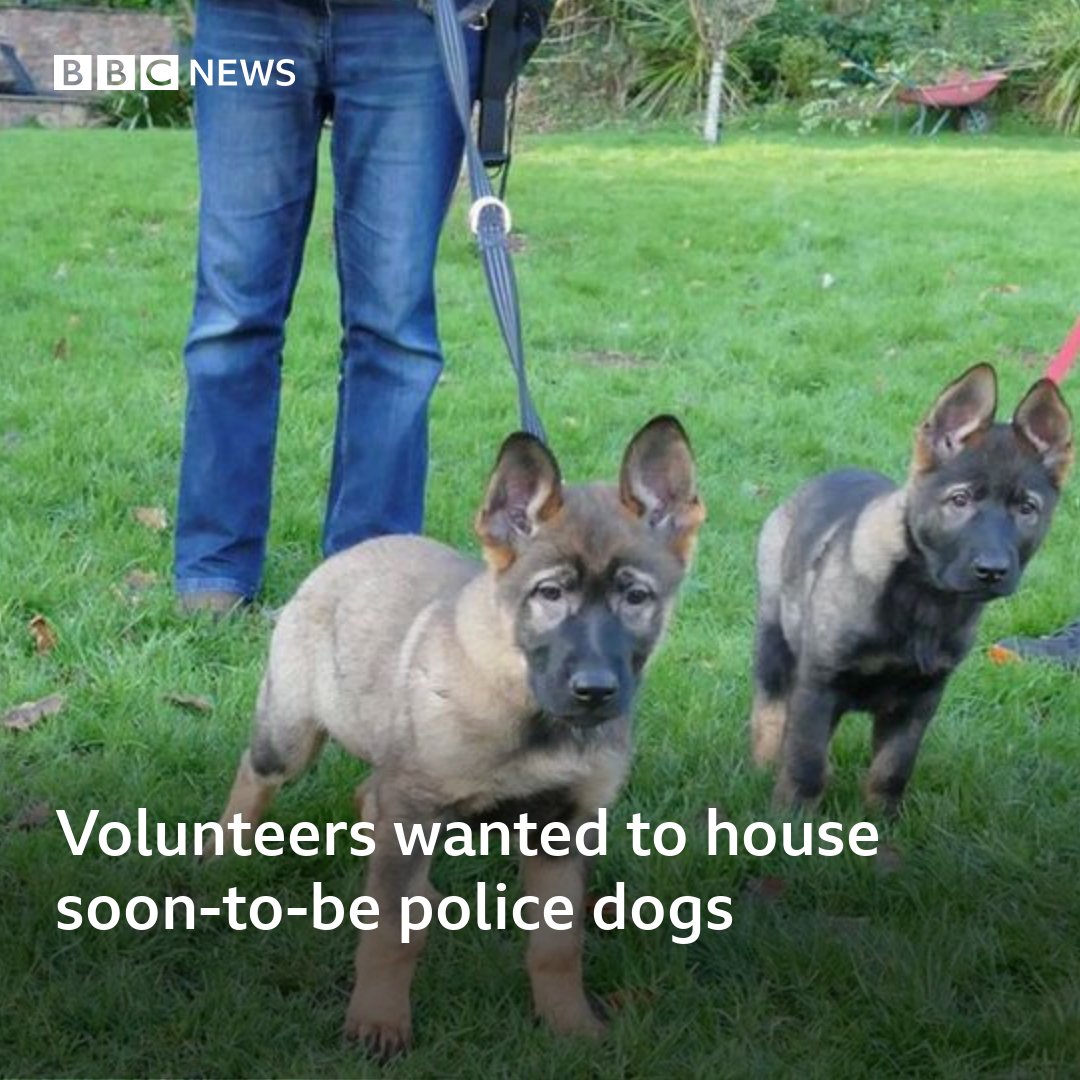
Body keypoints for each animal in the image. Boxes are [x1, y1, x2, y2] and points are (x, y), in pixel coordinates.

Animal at [211, 416, 704, 1057]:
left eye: (636, 596)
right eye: (549, 594)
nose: (595, 691)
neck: (529, 710)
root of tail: (348, 555)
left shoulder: (565, 826)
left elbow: (557, 946)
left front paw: (569, 1023)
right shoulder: (414, 804)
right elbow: (391, 933)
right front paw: (379, 1021)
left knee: (368, 800)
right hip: (290, 734)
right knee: (256, 775)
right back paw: (221, 854)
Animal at [750, 363, 1072, 815]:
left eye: (1026, 508)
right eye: (960, 500)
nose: (992, 571)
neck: (925, 598)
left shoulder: (920, 699)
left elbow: (890, 772)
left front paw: (882, 825)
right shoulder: (820, 682)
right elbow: (805, 764)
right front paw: (791, 822)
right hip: (774, 635)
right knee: (770, 711)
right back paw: (761, 766)